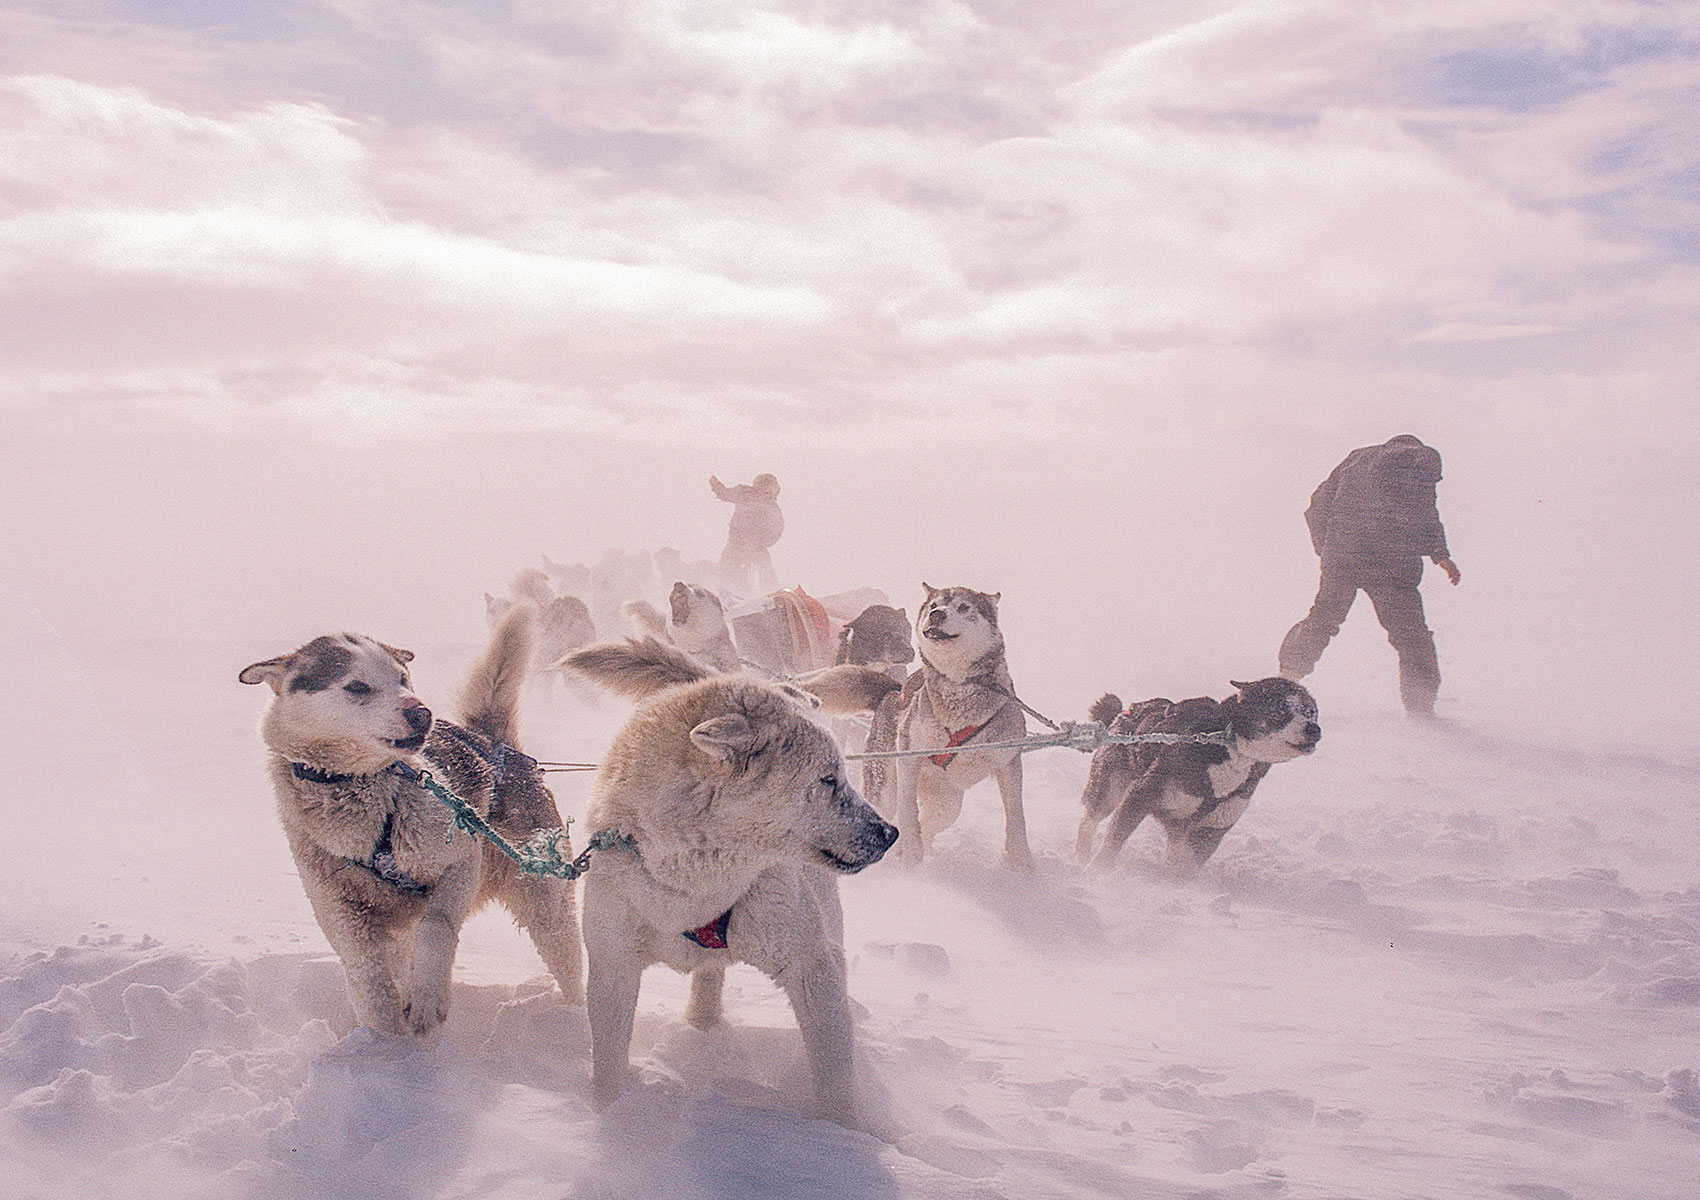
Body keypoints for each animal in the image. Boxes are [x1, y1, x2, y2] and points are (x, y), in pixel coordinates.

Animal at [239, 611, 584, 1033]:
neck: (359, 786)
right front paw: (386, 1041)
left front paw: (426, 1000)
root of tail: (491, 743)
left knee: (568, 962)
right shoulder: (339, 909)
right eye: (357, 686)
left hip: (546, 905)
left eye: (402, 678)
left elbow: (434, 928)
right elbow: (369, 979)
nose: (422, 713)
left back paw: (575, 1019)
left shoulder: (459, 863)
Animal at [561, 635, 904, 1121]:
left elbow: (834, 1076)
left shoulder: (812, 966)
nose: (890, 834)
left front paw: (838, 1134)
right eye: (827, 779)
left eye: (841, 774)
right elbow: (608, 1061)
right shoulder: (614, 965)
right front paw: (606, 1114)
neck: (695, 886)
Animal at [870, 584, 1026, 863]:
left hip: (947, 802)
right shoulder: (908, 754)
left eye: (964, 607)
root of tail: (891, 694)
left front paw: (1021, 863)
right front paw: (911, 855)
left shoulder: (1008, 761)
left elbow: (1016, 816)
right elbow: (908, 810)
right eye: (934, 605)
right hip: (885, 787)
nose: (937, 614)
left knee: (934, 820)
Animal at [1074, 673, 1326, 870]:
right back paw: (1080, 855)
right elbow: (1114, 840)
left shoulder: (1213, 827)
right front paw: (1098, 870)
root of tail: (1127, 710)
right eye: (1280, 711)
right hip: (1109, 790)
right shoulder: (1139, 797)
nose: (1313, 729)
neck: (1229, 750)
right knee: (1089, 820)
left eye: (1310, 712)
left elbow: (1190, 864)